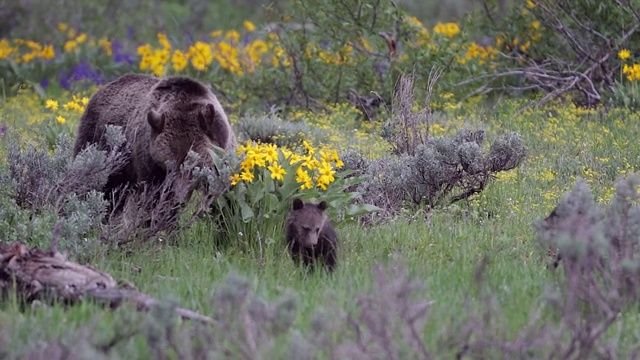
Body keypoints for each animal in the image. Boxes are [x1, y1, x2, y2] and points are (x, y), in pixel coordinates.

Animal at [72, 72, 238, 210]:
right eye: (169, 166)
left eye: (194, 166)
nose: (179, 198)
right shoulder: (150, 162)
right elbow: (154, 199)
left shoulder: (221, 158)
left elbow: (226, 199)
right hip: (97, 139)